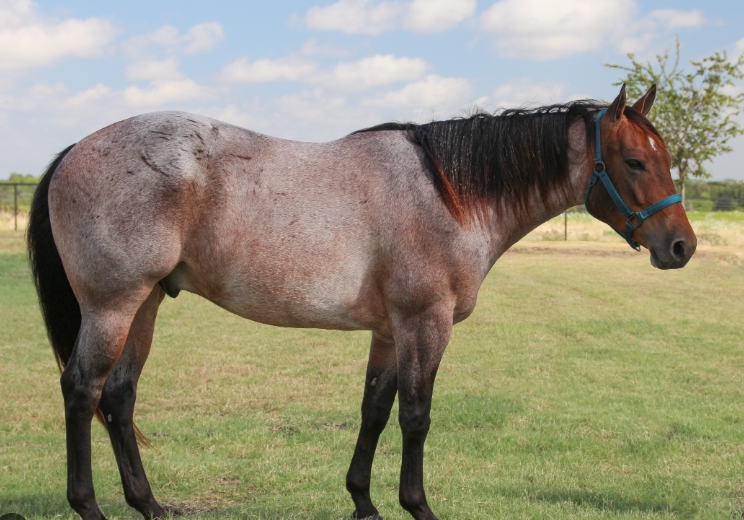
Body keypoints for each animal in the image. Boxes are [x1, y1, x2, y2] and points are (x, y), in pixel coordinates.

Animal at [27, 83, 692, 516]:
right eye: (635, 161)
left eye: (665, 159)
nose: (681, 246)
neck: (447, 195)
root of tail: (75, 149)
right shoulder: (426, 324)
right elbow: (417, 416)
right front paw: (417, 507)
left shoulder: (390, 332)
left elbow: (374, 411)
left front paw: (364, 504)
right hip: (112, 306)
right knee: (82, 390)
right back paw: (90, 507)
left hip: (144, 305)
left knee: (118, 396)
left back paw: (150, 505)